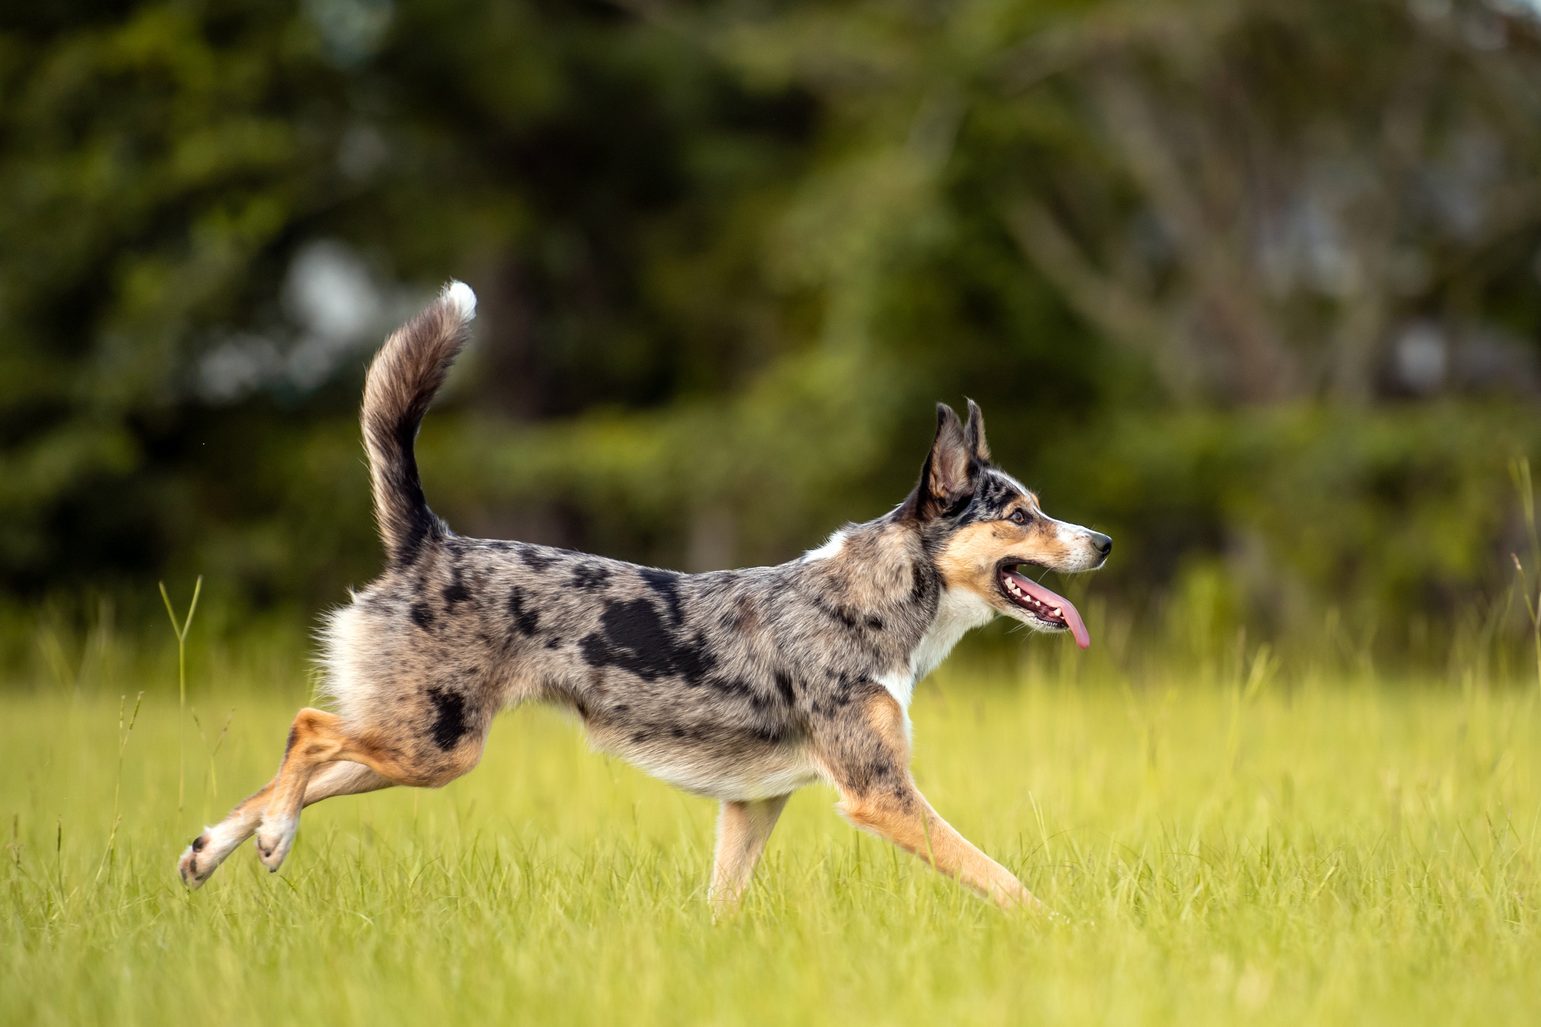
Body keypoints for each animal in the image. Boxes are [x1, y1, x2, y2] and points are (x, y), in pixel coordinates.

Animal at [177, 282, 1109, 912]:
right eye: (1021, 515)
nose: (1101, 542)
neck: (870, 599)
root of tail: (429, 540)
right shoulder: (880, 793)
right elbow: (1001, 877)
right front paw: (1060, 931)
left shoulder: (752, 804)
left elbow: (722, 904)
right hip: (433, 745)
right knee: (306, 728)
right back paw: (271, 838)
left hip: (414, 743)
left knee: (298, 765)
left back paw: (212, 847)